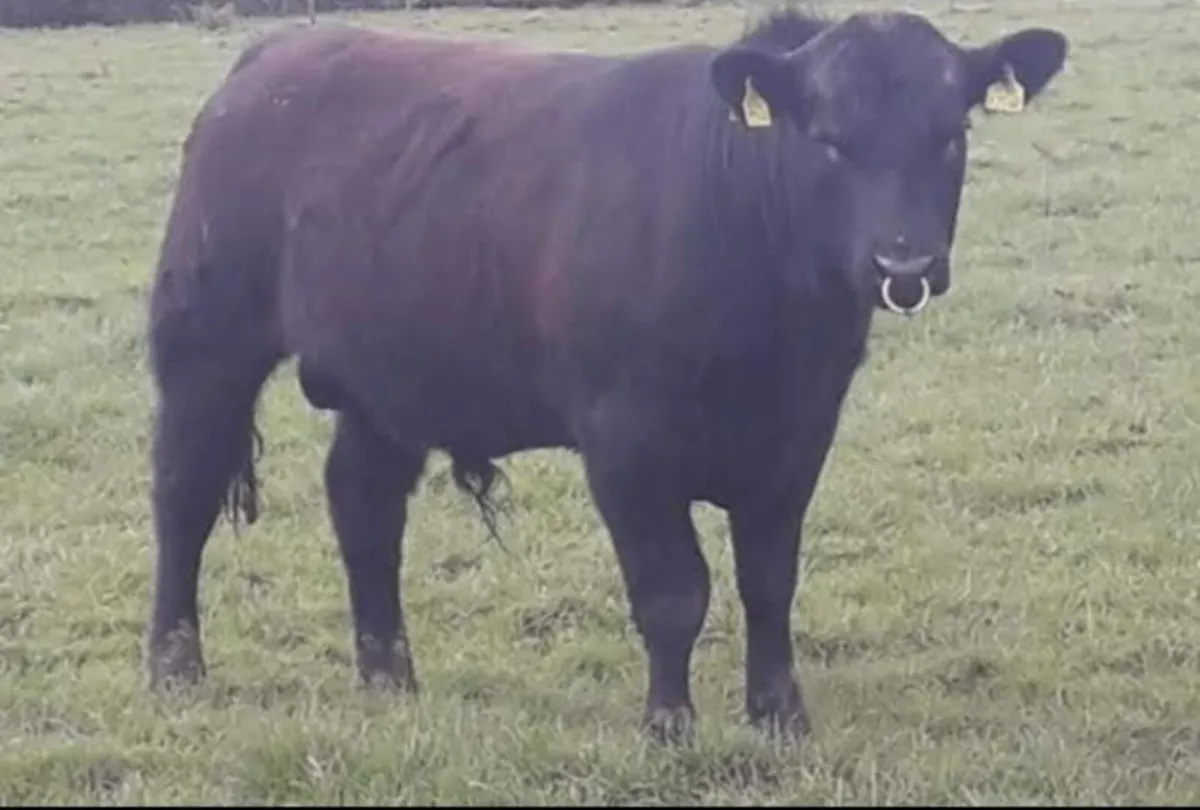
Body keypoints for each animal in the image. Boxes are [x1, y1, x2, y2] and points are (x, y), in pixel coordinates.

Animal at [143, 7, 1068, 741]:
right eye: (828, 140)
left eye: (950, 134)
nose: (904, 263)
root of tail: (275, 55)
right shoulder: (627, 440)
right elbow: (673, 590)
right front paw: (669, 723)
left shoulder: (799, 435)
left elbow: (769, 582)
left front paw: (780, 715)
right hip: (205, 343)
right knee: (184, 496)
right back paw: (174, 667)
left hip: (389, 378)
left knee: (363, 506)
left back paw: (389, 678)